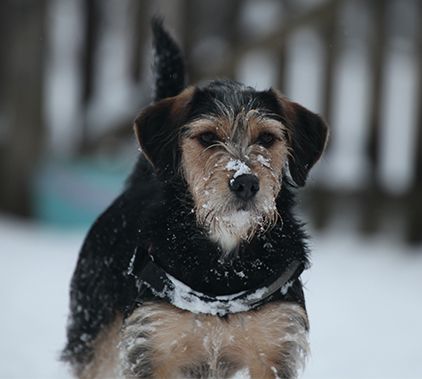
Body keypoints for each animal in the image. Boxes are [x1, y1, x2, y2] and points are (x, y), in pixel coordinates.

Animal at [61, 20, 328, 379]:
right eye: (207, 137)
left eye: (267, 138)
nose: (245, 182)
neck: (224, 267)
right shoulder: (153, 343)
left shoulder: (274, 345)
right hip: (95, 337)